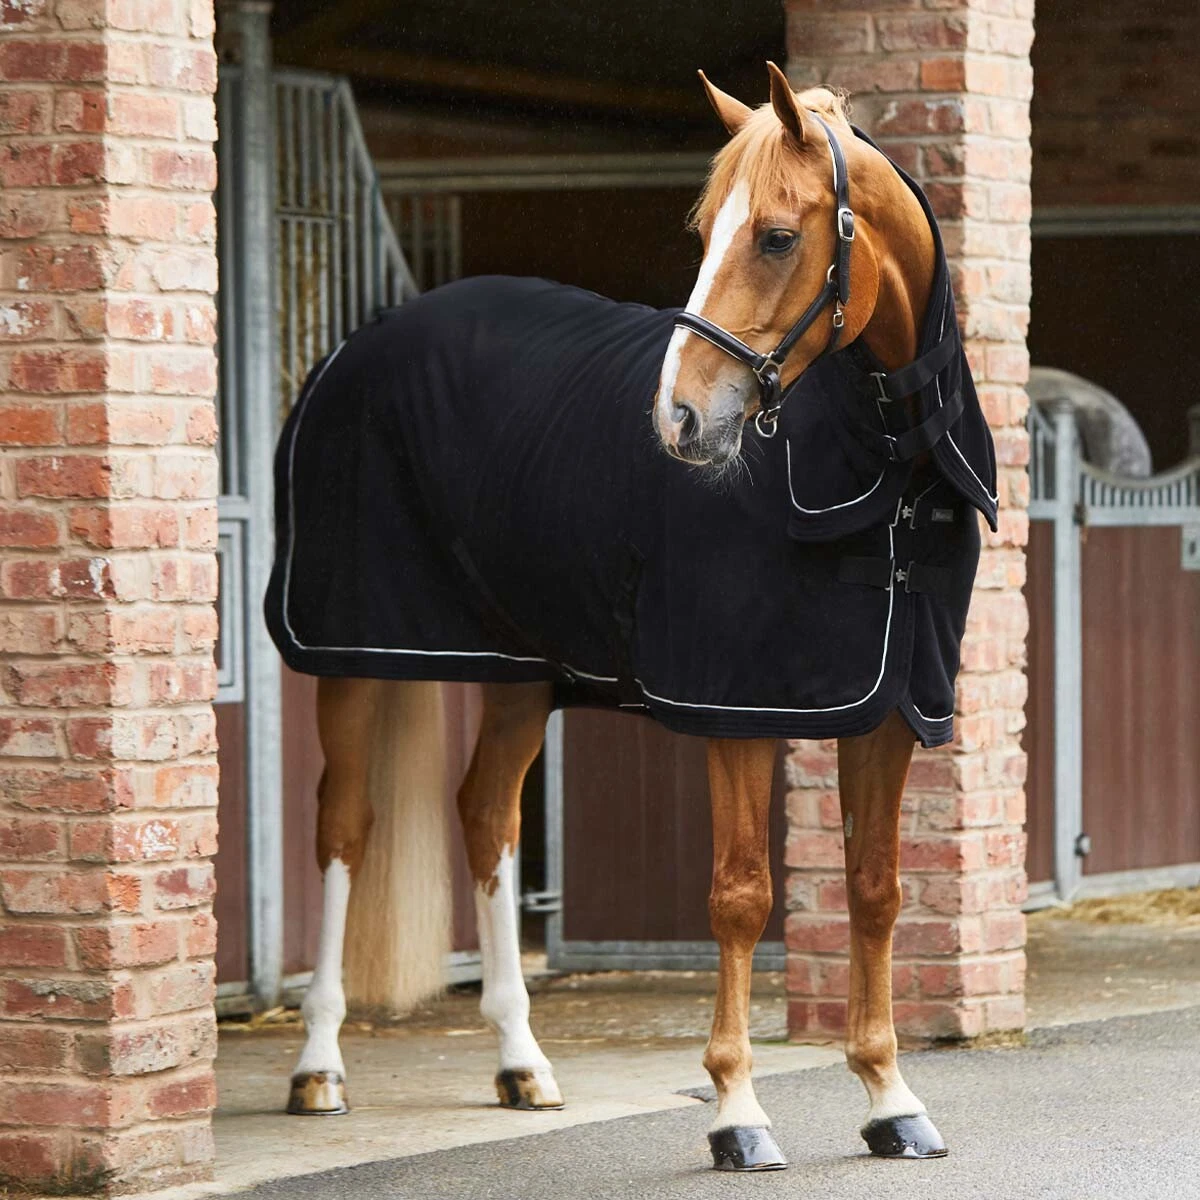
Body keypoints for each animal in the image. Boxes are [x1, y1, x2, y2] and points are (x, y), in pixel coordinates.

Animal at [266, 62, 998, 1172]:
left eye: (775, 236)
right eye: (703, 230)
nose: (681, 418)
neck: (883, 472)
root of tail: (361, 343)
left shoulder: (891, 710)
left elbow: (876, 890)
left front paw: (891, 1098)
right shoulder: (735, 709)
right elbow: (741, 895)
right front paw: (738, 1113)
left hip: (519, 674)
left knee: (484, 818)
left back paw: (521, 1063)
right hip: (354, 658)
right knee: (343, 828)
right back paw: (318, 1068)